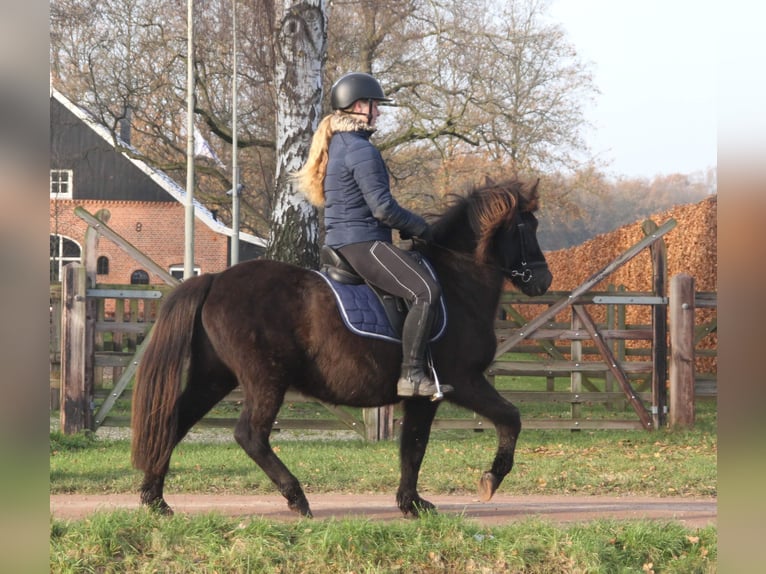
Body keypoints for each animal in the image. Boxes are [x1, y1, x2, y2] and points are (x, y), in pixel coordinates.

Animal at [132, 178, 552, 520]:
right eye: (526, 227)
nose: (544, 280)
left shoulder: (422, 396)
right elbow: (509, 418)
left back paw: (155, 499)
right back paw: (296, 498)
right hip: (265, 379)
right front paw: (490, 479)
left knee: (174, 421)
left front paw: (411, 503)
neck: (456, 283)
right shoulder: (462, 380)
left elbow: (413, 447)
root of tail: (216, 280)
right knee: (250, 435)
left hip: (214, 377)